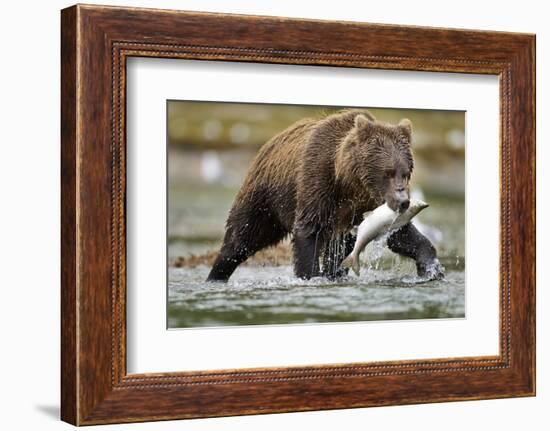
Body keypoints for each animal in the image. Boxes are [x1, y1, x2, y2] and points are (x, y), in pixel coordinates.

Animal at [207, 109, 444, 282]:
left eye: (405, 173)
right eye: (388, 172)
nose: (403, 201)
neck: (349, 183)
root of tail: (268, 144)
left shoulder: (367, 206)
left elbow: (400, 234)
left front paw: (432, 269)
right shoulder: (318, 182)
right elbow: (308, 232)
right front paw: (311, 276)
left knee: (340, 252)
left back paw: (336, 275)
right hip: (265, 198)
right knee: (241, 238)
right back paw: (216, 276)